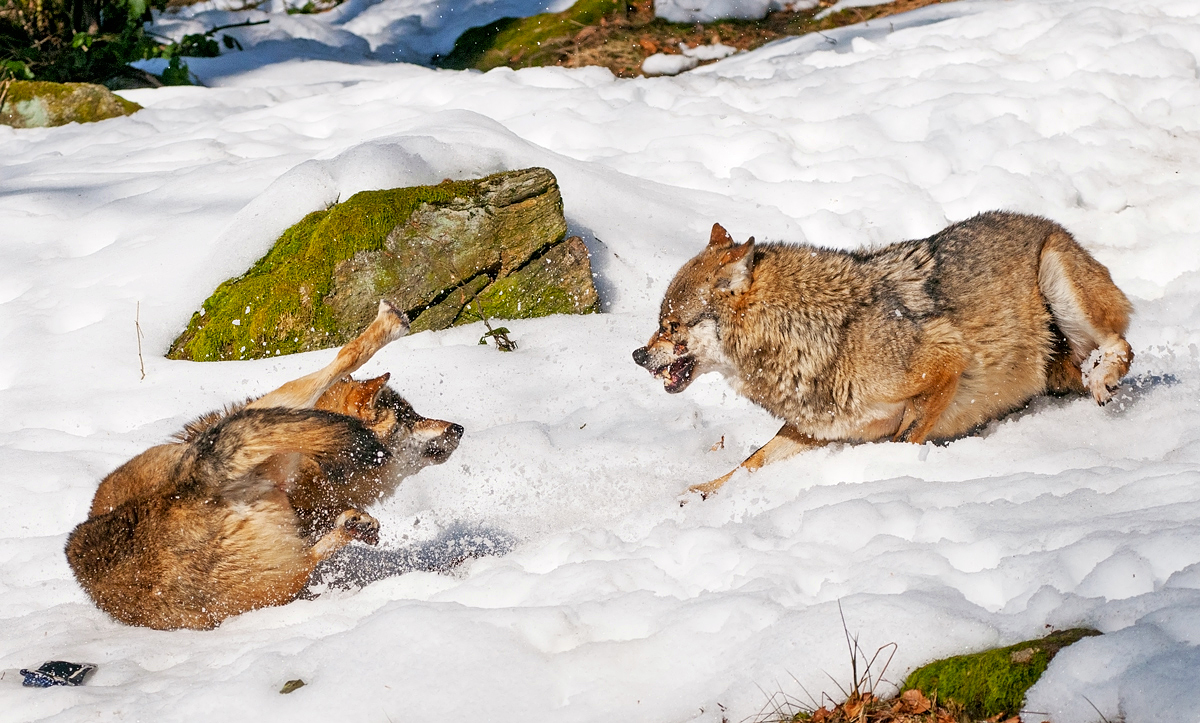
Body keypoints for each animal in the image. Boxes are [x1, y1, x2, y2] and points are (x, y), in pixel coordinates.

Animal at [638, 211, 1132, 497]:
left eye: (671, 326)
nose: (636, 355)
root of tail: (1047, 222)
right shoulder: (817, 427)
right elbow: (751, 461)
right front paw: (700, 493)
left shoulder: (946, 363)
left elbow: (903, 440)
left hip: (1057, 279)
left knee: (1120, 344)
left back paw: (1102, 378)